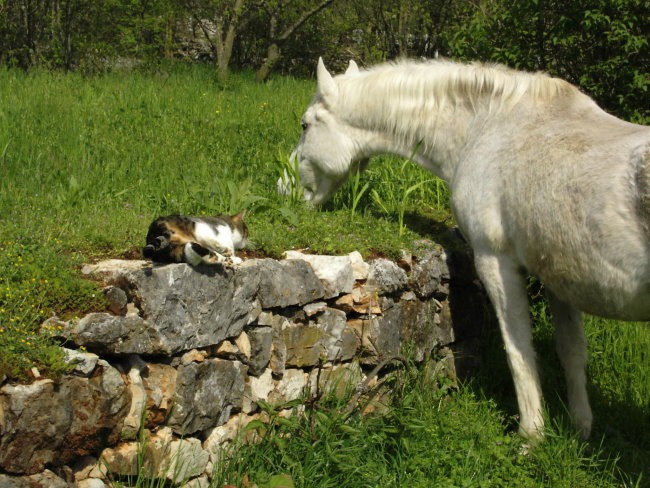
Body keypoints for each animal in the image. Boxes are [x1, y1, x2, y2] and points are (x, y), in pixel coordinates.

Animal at [292, 58, 648, 442]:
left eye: (305, 124)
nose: (288, 191)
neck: (488, 128)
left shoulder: (495, 260)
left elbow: (519, 349)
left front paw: (530, 436)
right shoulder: (558, 277)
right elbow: (571, 352)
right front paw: (580, 430)